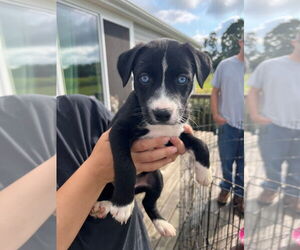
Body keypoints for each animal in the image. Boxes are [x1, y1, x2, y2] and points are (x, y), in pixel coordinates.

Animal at [90, 38, 212, 236]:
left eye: (182, 79)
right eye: (144, 78)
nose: (162, 113)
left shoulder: (175, 134)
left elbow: (201, 143)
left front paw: (205, 173)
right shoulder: (118, 132)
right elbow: (125, 164)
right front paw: (123, 205)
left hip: (156, 179)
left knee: (148, 202)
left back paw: (162, 224)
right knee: (108, 193)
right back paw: (105, 205)